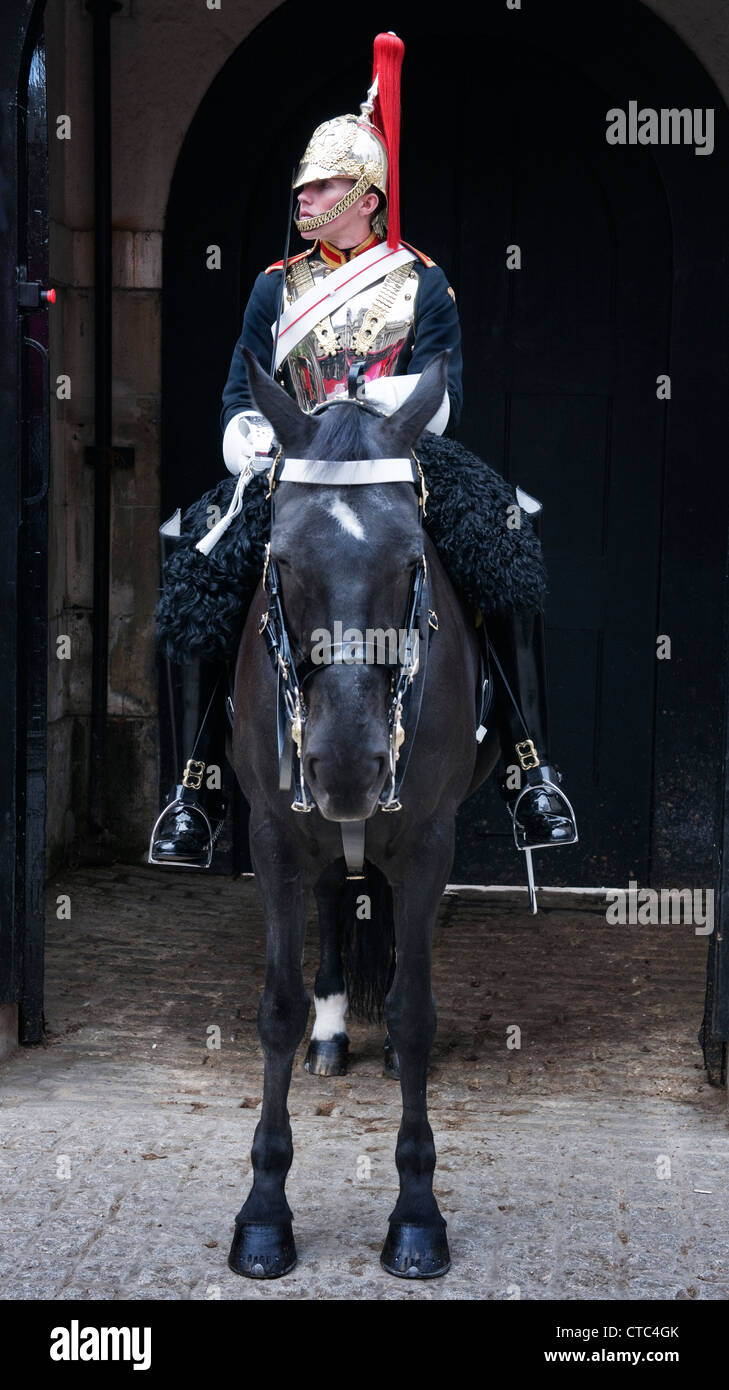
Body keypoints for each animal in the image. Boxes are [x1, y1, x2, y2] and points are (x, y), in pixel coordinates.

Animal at [227, 348, 500, 1279]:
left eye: (412, 558)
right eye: (279, 557)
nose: (346, 764)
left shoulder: (426, 846)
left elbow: (415, 1014)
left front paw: (416, 1216)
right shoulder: (273, 839)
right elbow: (275, 1009)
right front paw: (263, 1215)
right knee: (334, 905)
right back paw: (332, 1034)